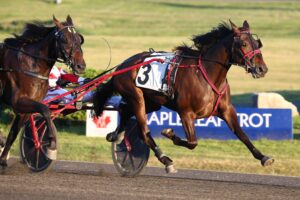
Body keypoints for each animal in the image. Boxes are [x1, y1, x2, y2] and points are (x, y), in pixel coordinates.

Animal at [0, 14, 85, 166]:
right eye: (65, 39)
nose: (81, 66)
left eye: (79, 39)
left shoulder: (24, 109)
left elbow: (13, 133)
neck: (32, 64)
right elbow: (45, 110)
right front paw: (51, 144)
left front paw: (3, 159)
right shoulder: (19, 102)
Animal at [94, 20, 274, 173]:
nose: (262, 69)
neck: (207, 74)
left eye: (257, 44)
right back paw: (166, 160)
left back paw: (116, 135)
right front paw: (169, 133)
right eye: (244, 44)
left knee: (125, 110)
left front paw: (264, 157)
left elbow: (242, 134)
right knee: (144, 132)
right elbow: (193, 142)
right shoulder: (186, 113)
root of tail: (122, 65)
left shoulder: (226, 110)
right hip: (136, 98)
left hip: (152, 102)